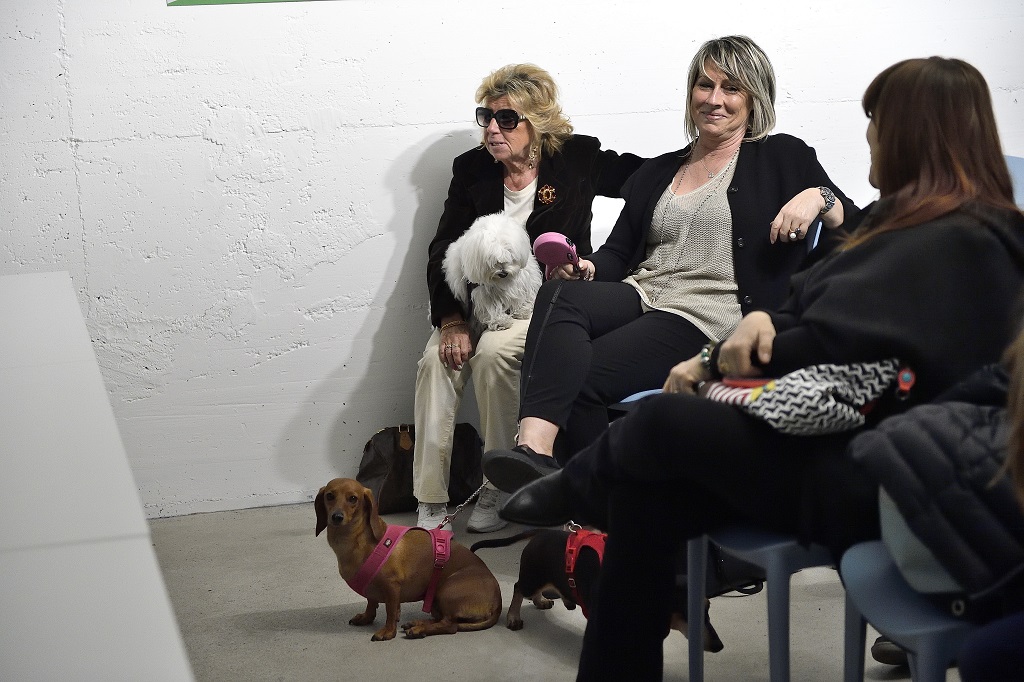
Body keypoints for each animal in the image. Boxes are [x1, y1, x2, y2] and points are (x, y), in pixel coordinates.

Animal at [315, 478, 502, 640]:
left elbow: (390, 612)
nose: (336, 517)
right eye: (329, 496)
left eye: (353, 498)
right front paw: (367, 617)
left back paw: (419, 629)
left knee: (450, 625)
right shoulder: (371, 587)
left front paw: (388, 631)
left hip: (447, 590)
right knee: (441, 620)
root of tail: (498, 602)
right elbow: (371, 602)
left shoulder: (392, 586)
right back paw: (418, 623)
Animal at [471, 528, 725, 652]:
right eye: (686, 611)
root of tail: (540, 533)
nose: (718, 646)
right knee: (518, 589)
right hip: (533, 576)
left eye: (708, 607)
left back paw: (543, 600)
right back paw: (513, 617)